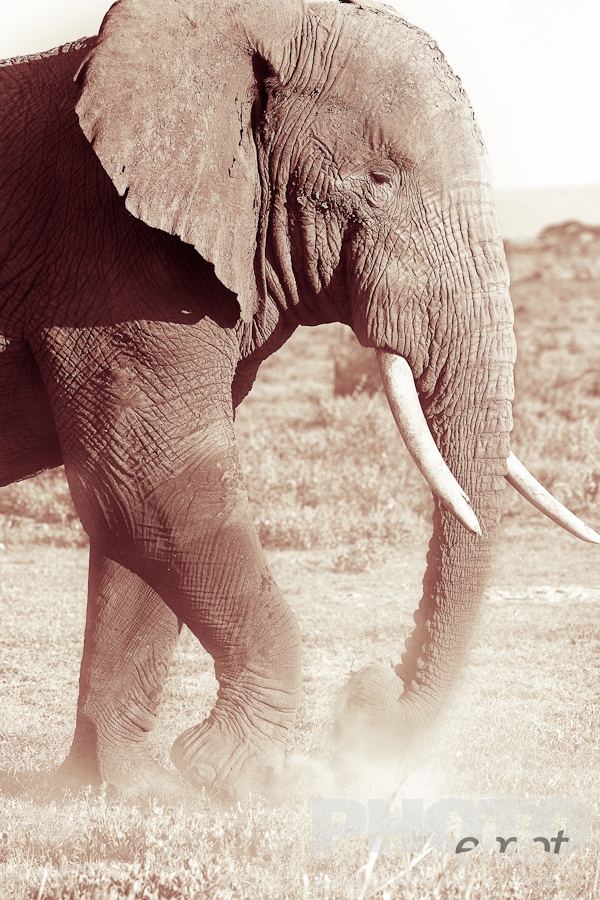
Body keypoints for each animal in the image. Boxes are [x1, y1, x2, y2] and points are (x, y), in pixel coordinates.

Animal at [1, 0, 598, 799]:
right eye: (378, 179)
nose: (368, 698)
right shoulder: (102, 268)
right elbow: (157, 488)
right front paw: (234, 774)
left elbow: (131, 512)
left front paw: (132, 792)